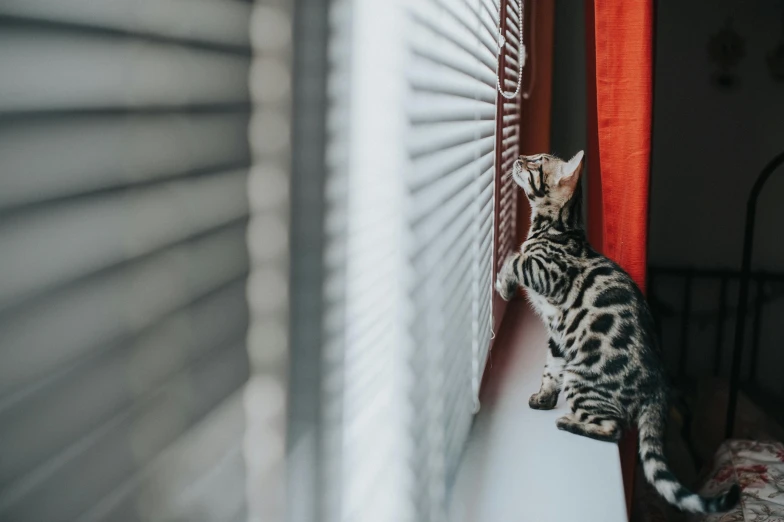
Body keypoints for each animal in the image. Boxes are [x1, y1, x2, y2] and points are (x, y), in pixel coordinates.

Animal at [494, 150, 740, 512]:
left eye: (536, 162)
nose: (518, 159)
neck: (559, 228)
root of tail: (659, 386)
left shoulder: (546, 272)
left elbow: (514, 258)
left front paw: (503, 285)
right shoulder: (557, 337)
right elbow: (549, 368)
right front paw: (544, 397)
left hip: (582, 381)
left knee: (613, 428)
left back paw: (570, 423)